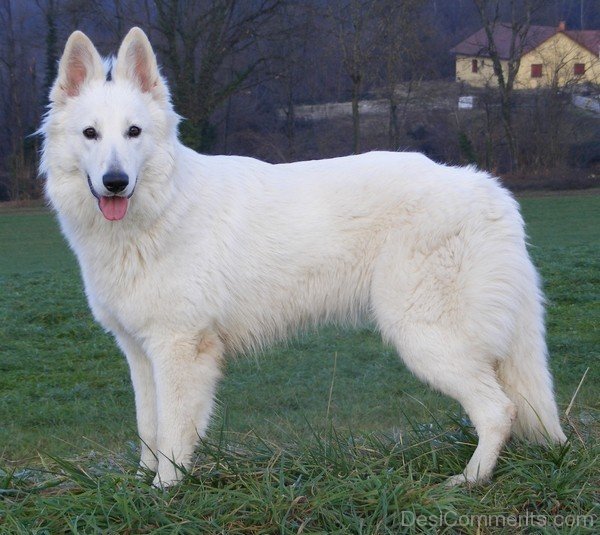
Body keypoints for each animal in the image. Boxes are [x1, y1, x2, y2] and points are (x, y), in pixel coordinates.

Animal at [41, 29, 568, 490]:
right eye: (91, 134)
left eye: (134, 132)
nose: (115, 182)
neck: (159, 211)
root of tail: (488, 187)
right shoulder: (139, 351)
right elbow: (148, 428)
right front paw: (139, 486)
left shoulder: (180, 349)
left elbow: (173, 433)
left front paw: (166, 490)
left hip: (426, 338)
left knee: (498, 410)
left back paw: (469, 480)